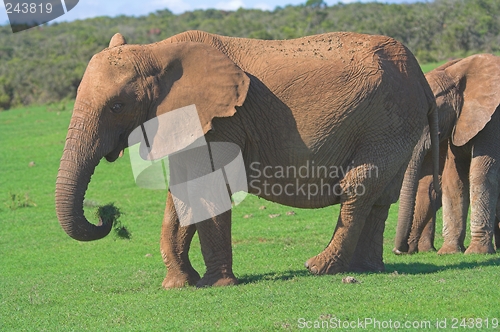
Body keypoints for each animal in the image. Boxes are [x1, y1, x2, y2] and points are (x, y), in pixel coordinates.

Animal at [55, 29, 438, 286]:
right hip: (395, 125)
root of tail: (420, 75)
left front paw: (215, 284)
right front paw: (179, 285)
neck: (158, 51)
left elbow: (208, 188)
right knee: (380, 196)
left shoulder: (222, 121)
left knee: (358, 187)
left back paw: (320, 267)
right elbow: (180, 193)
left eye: (117, 106)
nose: (106, 216)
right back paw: (365, 269)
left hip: (388, 119)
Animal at [394, 54, 500, 254]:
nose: (400, 250)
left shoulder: (493, 119)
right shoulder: (458, 121)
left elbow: (481, 174)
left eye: (431, 114)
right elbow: (454, 177)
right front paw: (449, 251)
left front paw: (476, 252)